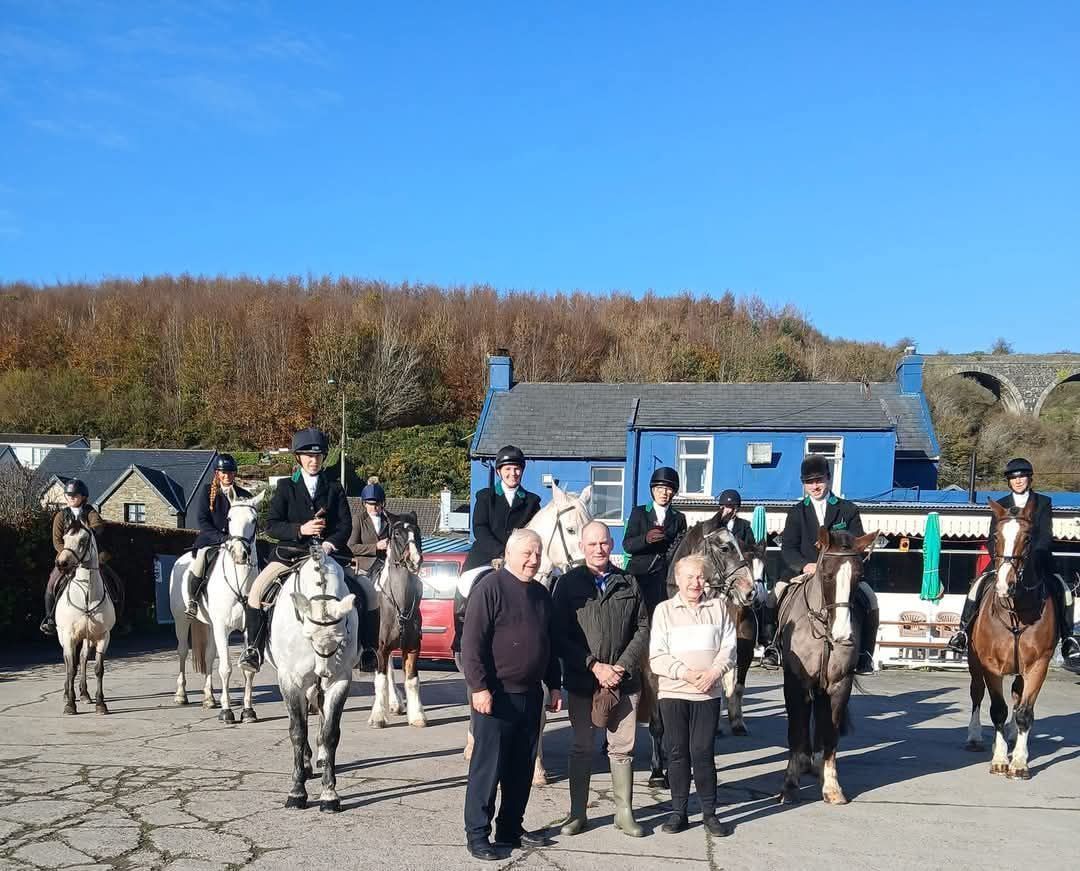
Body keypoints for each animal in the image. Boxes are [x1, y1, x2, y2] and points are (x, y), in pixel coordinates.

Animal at [54, 525, 116, 717]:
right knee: (70, 662)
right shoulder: (68, 636)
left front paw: (101, 704)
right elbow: (70, 668)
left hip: (87, 639)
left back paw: (84, 694)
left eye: (83, 540)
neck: (87, 596)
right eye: (65, 538)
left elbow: (98, 669)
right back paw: (67, 694)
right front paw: (70, 705)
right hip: (63, 636)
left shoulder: (103, 637)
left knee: (82, 659)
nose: (61, 563)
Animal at [167, 494, 264, 726]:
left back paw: (209, 698)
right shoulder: (222, 627)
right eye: (229, 519)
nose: (240, 554)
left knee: (209, 656)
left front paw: (248, 711)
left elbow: (247, 670)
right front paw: (227, 711)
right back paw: (181, 695)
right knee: (182, 651)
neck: (239, 583)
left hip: (210, 626)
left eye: (254, 520)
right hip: (182, 621)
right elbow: (226, 668)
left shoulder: (247, 629)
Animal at [270, 548, 358, 816]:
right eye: (308, 635)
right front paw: (297, 791)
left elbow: (330, 733)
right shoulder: (290, 680)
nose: (324, 672)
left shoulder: (340, 680)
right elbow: (297, 732)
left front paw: (329, 794)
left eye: (341, 637)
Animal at [777, 529, 876, 808]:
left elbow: (831, 734)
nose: (843, 634)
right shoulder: (795, 683)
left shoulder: (839, 683)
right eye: (826, 574)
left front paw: (832, 788)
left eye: (859, 576)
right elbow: (795, 731)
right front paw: (789, 786)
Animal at [967, 501, 1058, 782]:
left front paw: (1019, 762)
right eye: (996, 536)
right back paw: (975, 736)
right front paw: (999, 760)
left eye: (1027, 538)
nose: (1004, 585)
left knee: (1017, 697)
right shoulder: (990, 665)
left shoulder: (1038, 665)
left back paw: (1010, 736)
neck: (1016, 611)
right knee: (977, 694)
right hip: (975, 664)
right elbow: (997, 709)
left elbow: (1024, 713)